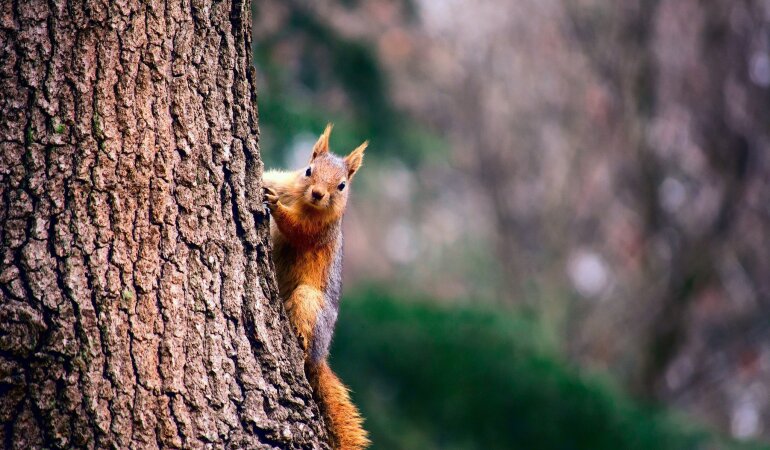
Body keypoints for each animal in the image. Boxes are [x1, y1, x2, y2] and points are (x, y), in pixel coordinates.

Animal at [260, 124, 368, 450]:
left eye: (342, 185)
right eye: (308, 170)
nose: (319, 194)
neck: (302, 201)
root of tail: (322, 356)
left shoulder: (319, 230)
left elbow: (297, 229)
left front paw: (276, 207)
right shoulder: (285, 181)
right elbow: (271, 178)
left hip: (308, 301)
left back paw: (301, 339)